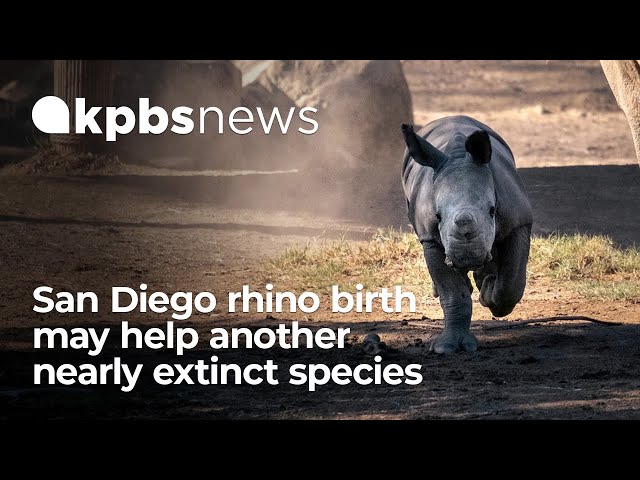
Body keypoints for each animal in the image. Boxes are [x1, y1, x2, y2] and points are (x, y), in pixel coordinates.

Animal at [402, 116, 532, 354]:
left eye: (492, 210)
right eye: (437, 215)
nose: (466, 257)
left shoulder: (519, 222)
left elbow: (511, 281)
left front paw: (490, 295)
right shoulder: (430, 238)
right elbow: (453, 294)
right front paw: (447, 347)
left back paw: (486, 283)